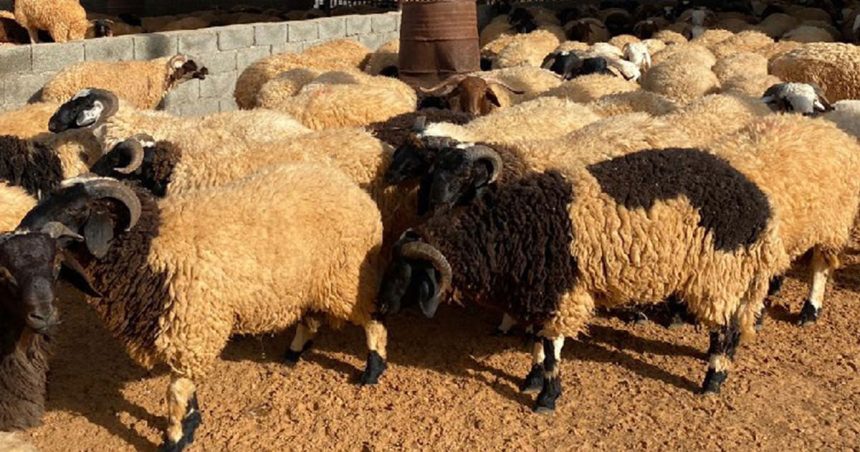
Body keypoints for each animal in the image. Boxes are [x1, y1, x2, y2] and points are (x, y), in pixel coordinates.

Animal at [6, 169, 387, 450]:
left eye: (75, 209)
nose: (21, 230)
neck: (152, 245)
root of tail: (352, 189)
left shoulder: (192, 326)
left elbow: (175, 392)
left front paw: (176, 438)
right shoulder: (188, 332)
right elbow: (185, 389)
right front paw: (191, 422)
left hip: (346, 276)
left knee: (373, 318)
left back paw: (372, 370)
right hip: (309, 281)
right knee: (310, 318)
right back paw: (293, 354)